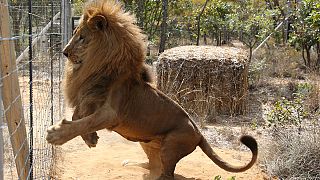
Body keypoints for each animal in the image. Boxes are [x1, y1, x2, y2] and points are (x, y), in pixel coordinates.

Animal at [47, 0, 258, 179]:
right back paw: (131, 164)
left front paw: (57, 134)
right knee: (152, 165)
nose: (65, 52)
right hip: (146, 142)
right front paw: (90, 139)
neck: (96, 68)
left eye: (82, 37)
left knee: (166, 174)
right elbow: (78, 116)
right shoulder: (90, 96)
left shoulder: (112, 112)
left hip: (172, 146)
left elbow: (85, 122)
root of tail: (199, 133)